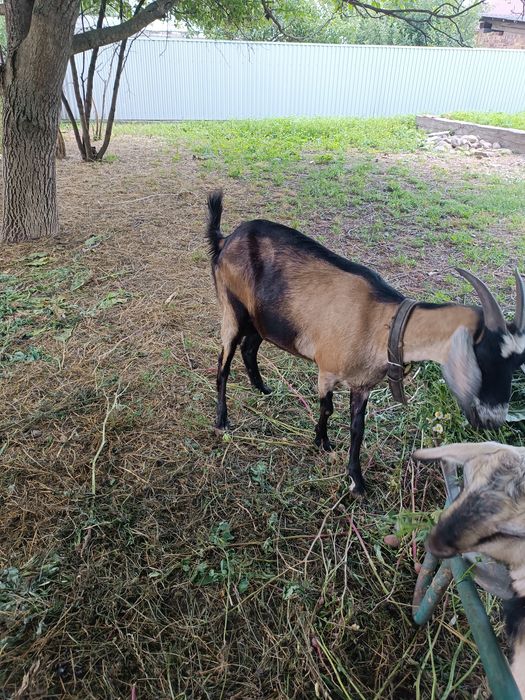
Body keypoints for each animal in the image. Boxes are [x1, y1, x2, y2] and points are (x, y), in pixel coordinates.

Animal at [205, 190, 525, 495]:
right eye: (485, 357)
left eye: (517, 364)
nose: (495, 419)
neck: (381, 323)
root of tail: (226, 240)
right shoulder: (326, 370)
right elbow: (327, 408)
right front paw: (322, 442)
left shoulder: (363, 384)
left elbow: (357, 428)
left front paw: (356, 481)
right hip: (232, 310)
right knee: (224, 362)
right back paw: (222, 421)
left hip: (261, 319)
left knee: (249, 348)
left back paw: (263, 388)